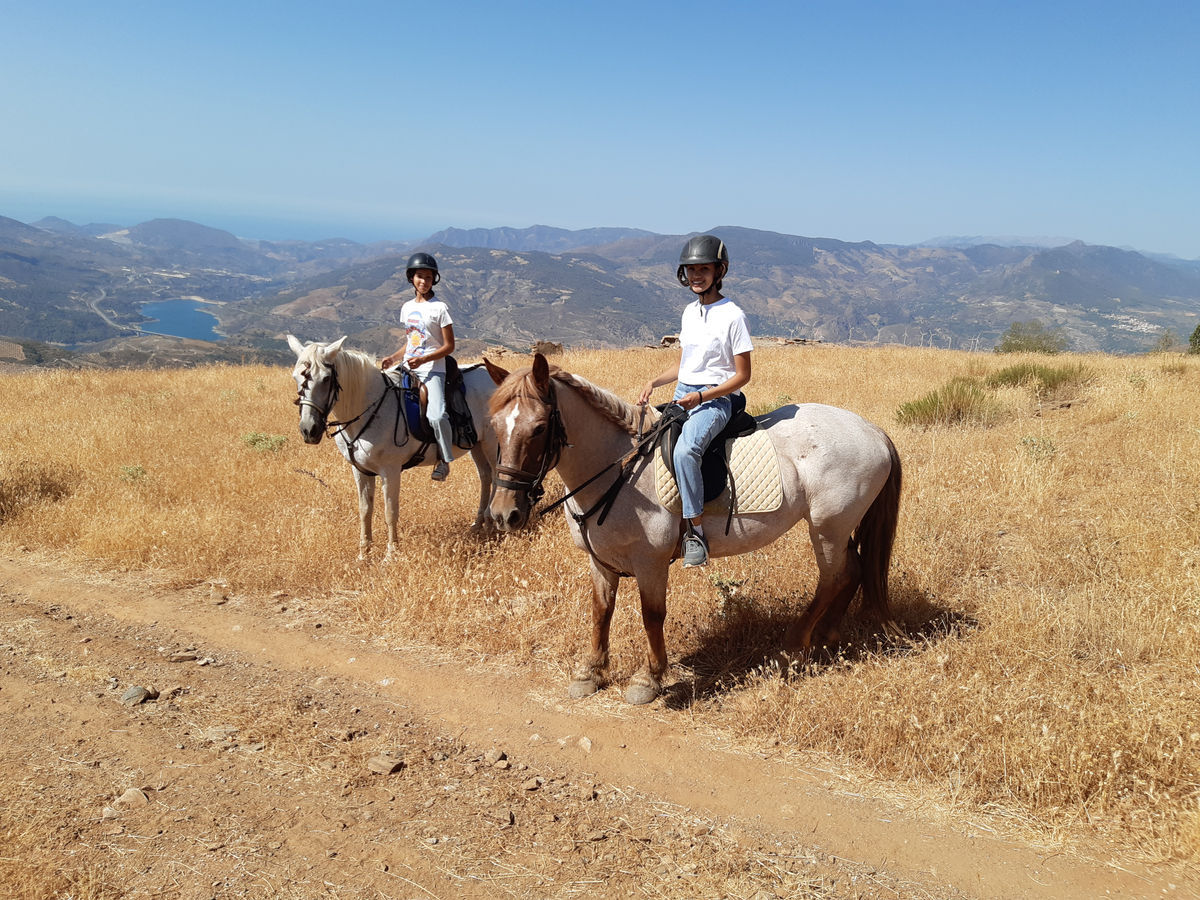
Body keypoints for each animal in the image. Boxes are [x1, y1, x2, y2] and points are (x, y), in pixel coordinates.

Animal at [288, 336, 494, 564]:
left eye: (325, 379)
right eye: (295, 377)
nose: (309, 430)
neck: (369, 407)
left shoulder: (390, 471)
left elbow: (390, 512)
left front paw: (391, 554)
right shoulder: (360, 471)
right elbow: (365, 510)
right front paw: (364, 553)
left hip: (492, 443)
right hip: (477, 445)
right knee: (486, 477)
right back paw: (479, 523)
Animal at [482, 355, 902, 710]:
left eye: (539, 428)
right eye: (495, 427)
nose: (504, 514)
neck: (619, 469)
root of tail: (872, 430)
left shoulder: (650, 562)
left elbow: (652, 615)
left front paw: (649, 679)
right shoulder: (599, 559)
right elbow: (601, 611)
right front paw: (591, 672)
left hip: (828, 527)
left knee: (833, 577)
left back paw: (794, 646)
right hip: (839, 527)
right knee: (852, 571)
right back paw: (828, 637)